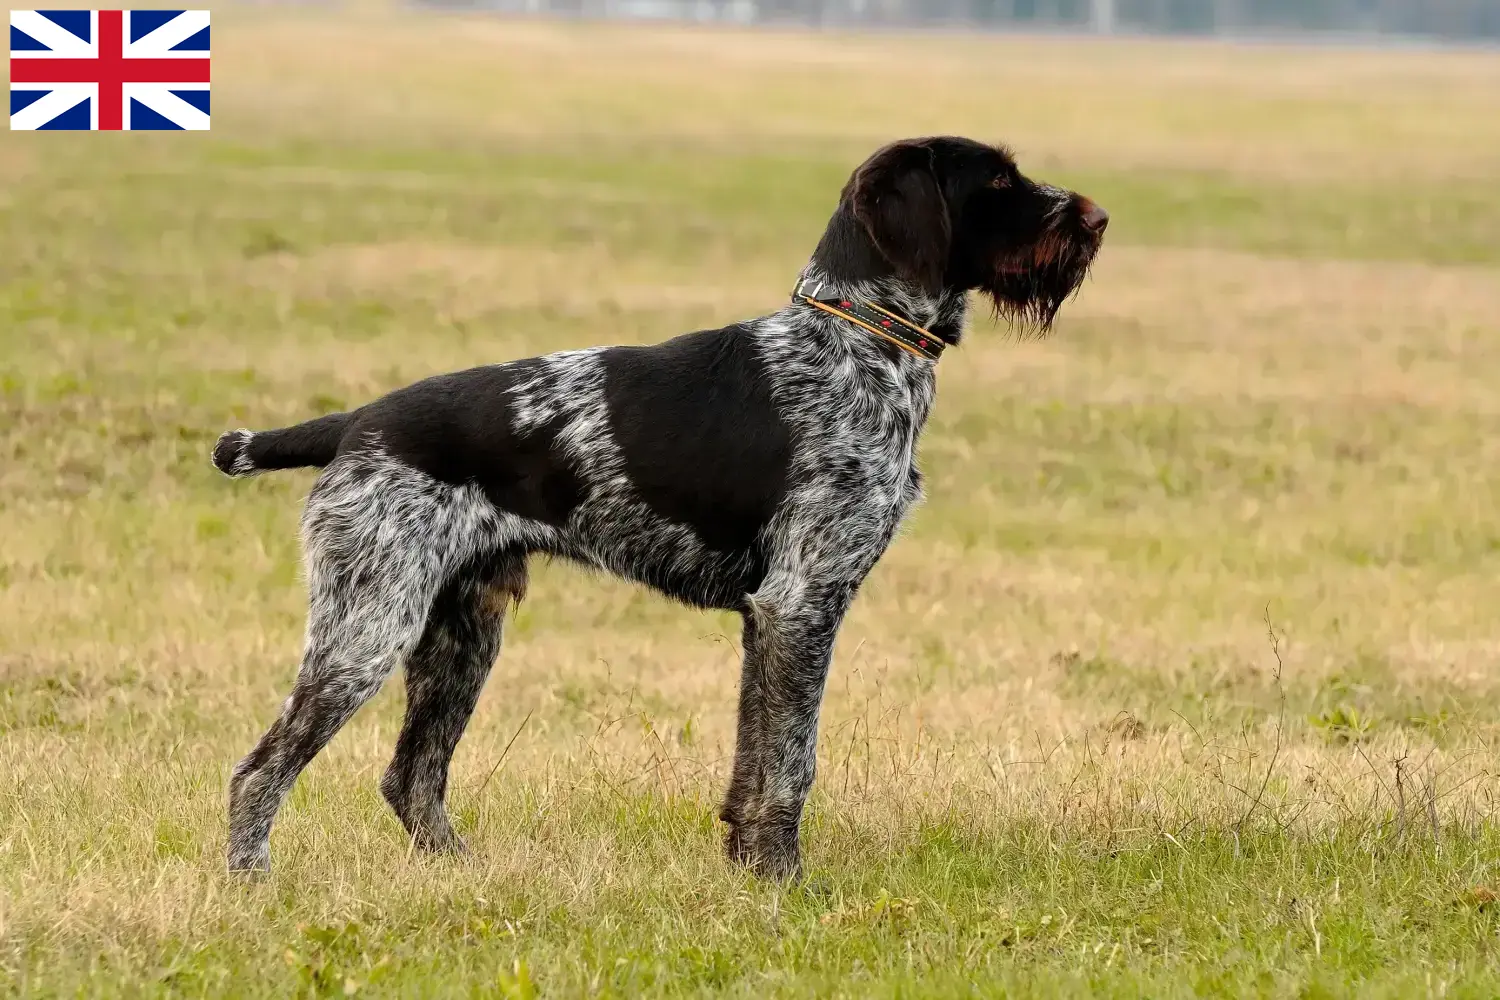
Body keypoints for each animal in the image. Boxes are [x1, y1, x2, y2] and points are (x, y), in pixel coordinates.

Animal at [211, 134, 1104, 875]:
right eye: (998, 180)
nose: (1098, 219)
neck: (858, 341)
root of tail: (357, 422)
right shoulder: (802, 604)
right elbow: (791, 763)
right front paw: (784, 882)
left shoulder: (770, 619)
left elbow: (754, 761)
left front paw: (746, 869)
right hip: (368, 628)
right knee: (259, 771)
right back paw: (252, 882)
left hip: (462, 633)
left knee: (410, 777)